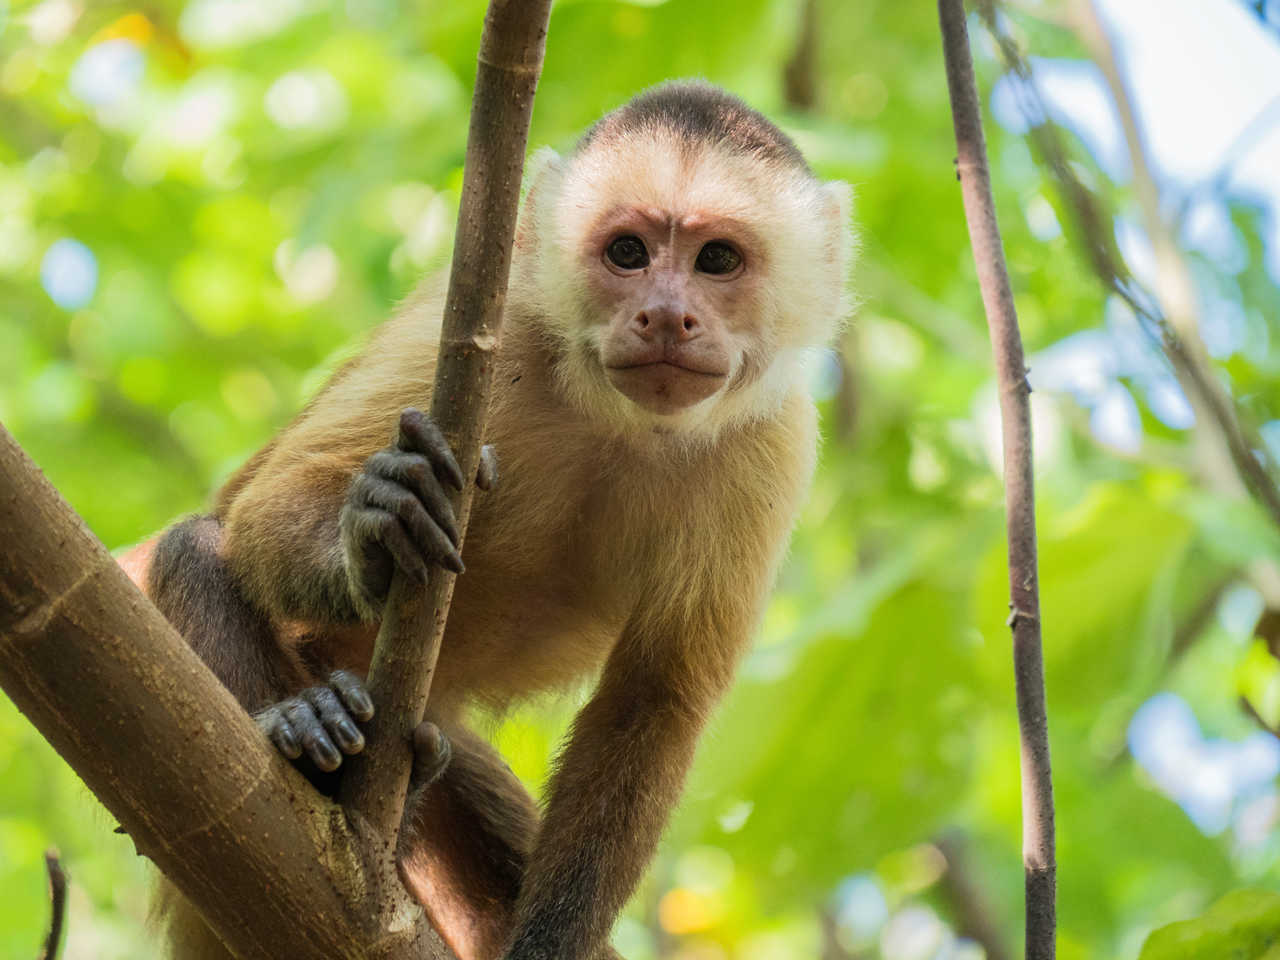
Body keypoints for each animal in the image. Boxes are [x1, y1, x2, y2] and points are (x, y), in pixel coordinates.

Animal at [126, 80, 854, 960]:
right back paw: (313, 729)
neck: (616, 419)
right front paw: (373, 535)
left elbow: (652, 704)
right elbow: (265, 502)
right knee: (193, 547)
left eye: (716, 260)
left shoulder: (776, 444)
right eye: (629, 253)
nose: (666, 314)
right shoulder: (483, 327)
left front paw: (549, 946)